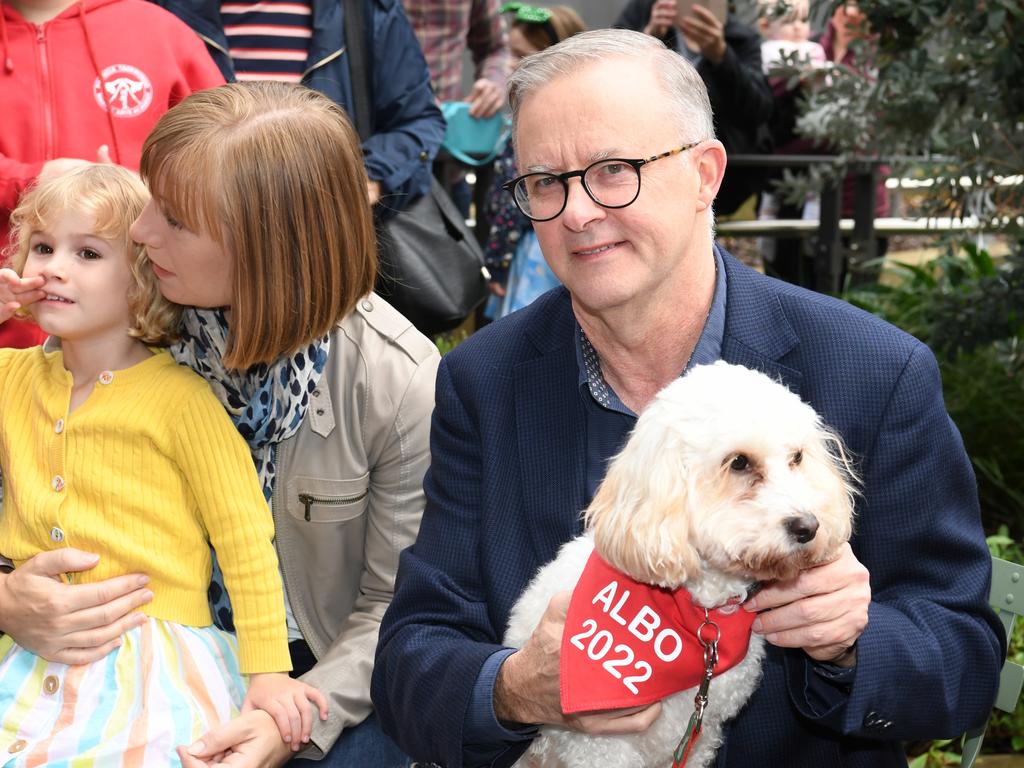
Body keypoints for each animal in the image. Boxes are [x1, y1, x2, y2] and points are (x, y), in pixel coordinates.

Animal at [503, 362, 856, 768]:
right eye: (738, 462)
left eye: (797, 457)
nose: (808, 527)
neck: (700, 611)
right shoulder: (597, 743)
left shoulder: (700, 734)